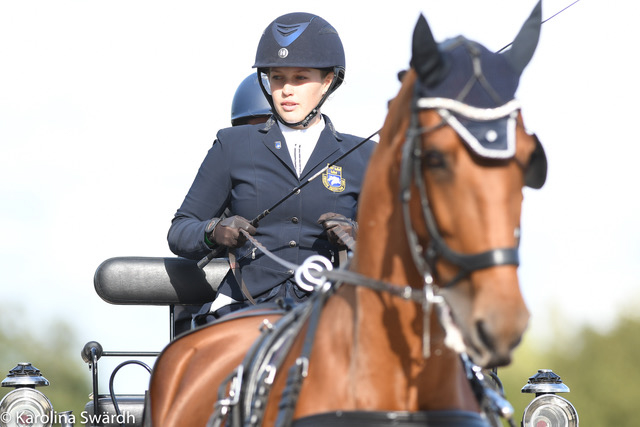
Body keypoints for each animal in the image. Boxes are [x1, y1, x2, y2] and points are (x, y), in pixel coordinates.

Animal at [146, 2, 547, 426]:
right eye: (435, 158)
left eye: (528, 159)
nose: (503, 319)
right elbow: (183, 222)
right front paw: (230, 230)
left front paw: (340, 230)